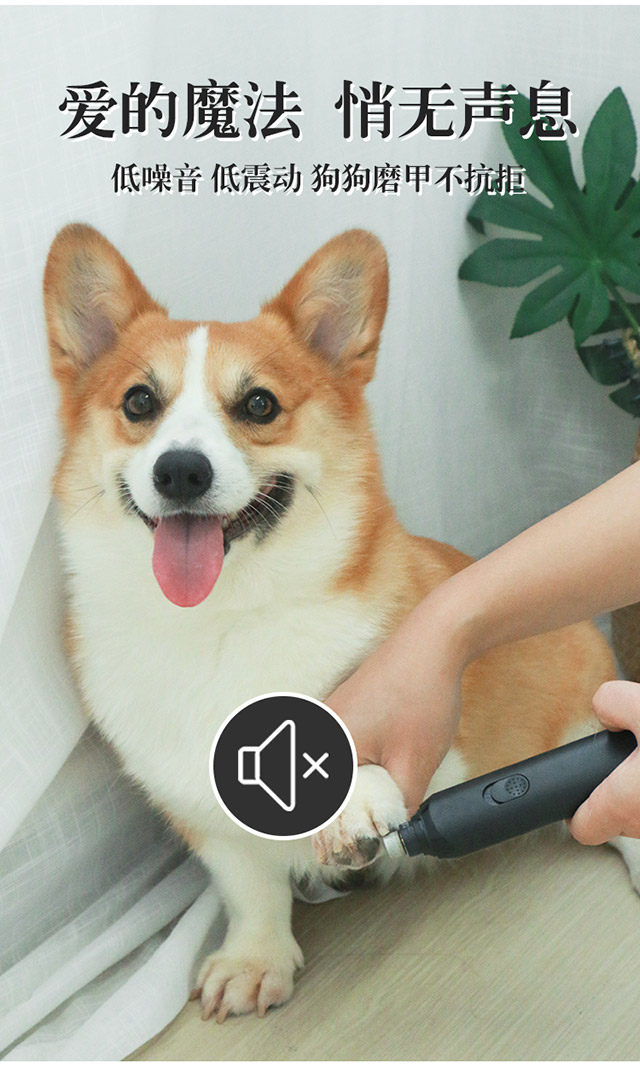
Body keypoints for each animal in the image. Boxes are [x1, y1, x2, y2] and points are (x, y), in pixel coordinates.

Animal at [45, 224, 628, 1022]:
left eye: (259, 404)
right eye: (139, 401)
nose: (181, 472)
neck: (222, 621)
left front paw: (347, 799)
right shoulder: (196, 810)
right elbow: (248, 886)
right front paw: (255, 958)